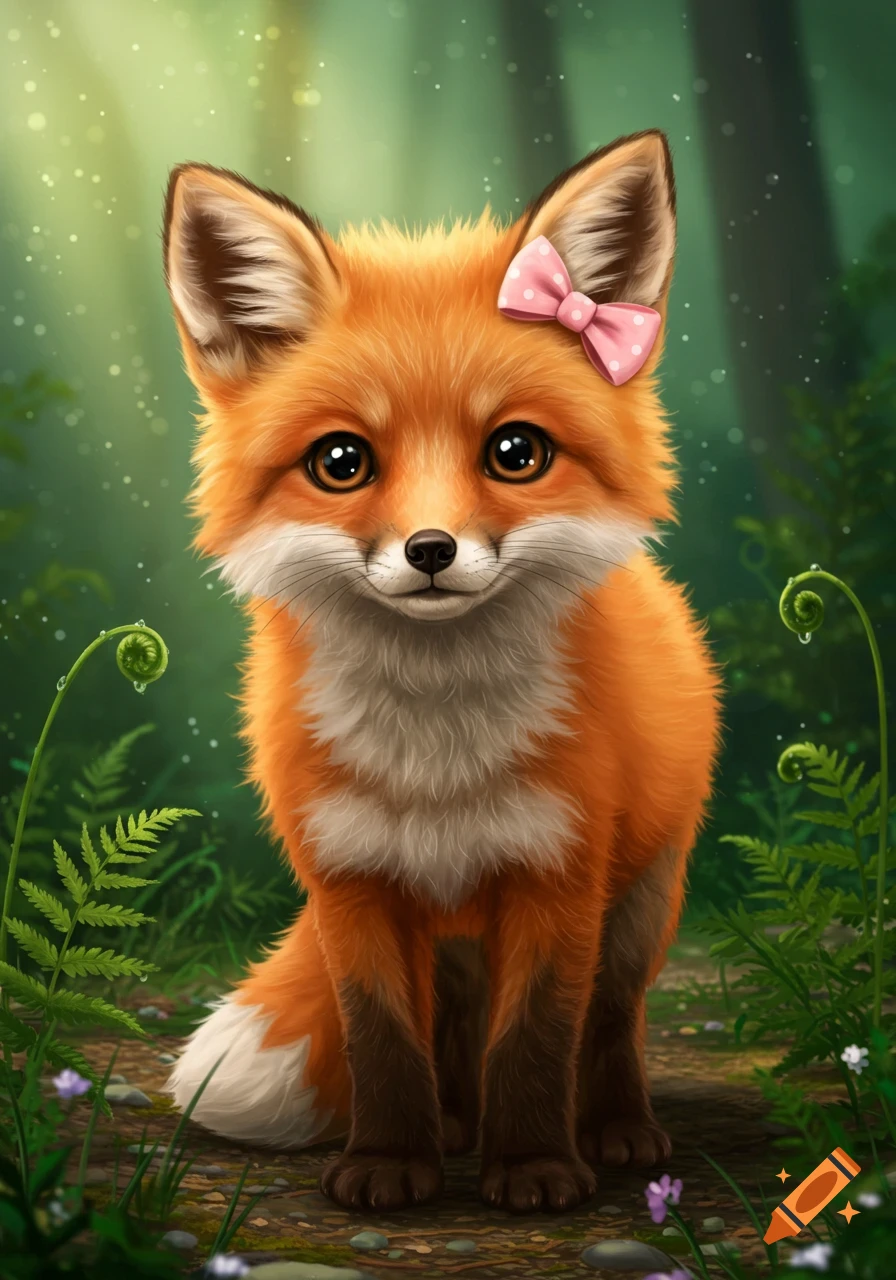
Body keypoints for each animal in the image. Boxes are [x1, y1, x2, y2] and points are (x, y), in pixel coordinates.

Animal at [162, 128, 721, 1215]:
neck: (436, 752)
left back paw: (617, 1131)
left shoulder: (558, 873)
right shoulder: (350, 880)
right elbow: (382, 1036)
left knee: (610, 1021)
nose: (430, 550)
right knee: (451, 1034)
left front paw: (535, 1167)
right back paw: (455, 1128)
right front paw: (389, 1160)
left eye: (514, 450)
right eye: (341, 461)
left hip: (642, 904)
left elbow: (537, 1036)